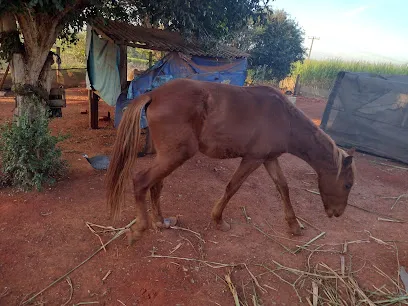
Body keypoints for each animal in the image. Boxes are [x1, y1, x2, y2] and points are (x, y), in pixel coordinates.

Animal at [106, 78, 356, 244]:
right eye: (347, 184)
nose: (337, 213)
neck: (285, 119)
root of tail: (155, 94)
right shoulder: (253, 159)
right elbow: (232, 187)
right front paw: (219, 220)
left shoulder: (269, 159)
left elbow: (283, 188)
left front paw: (294, 225)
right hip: (175, 156)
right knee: (141, 181)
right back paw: (140, 228)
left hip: (167, 157)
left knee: (156, 185)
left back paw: (161, 221)